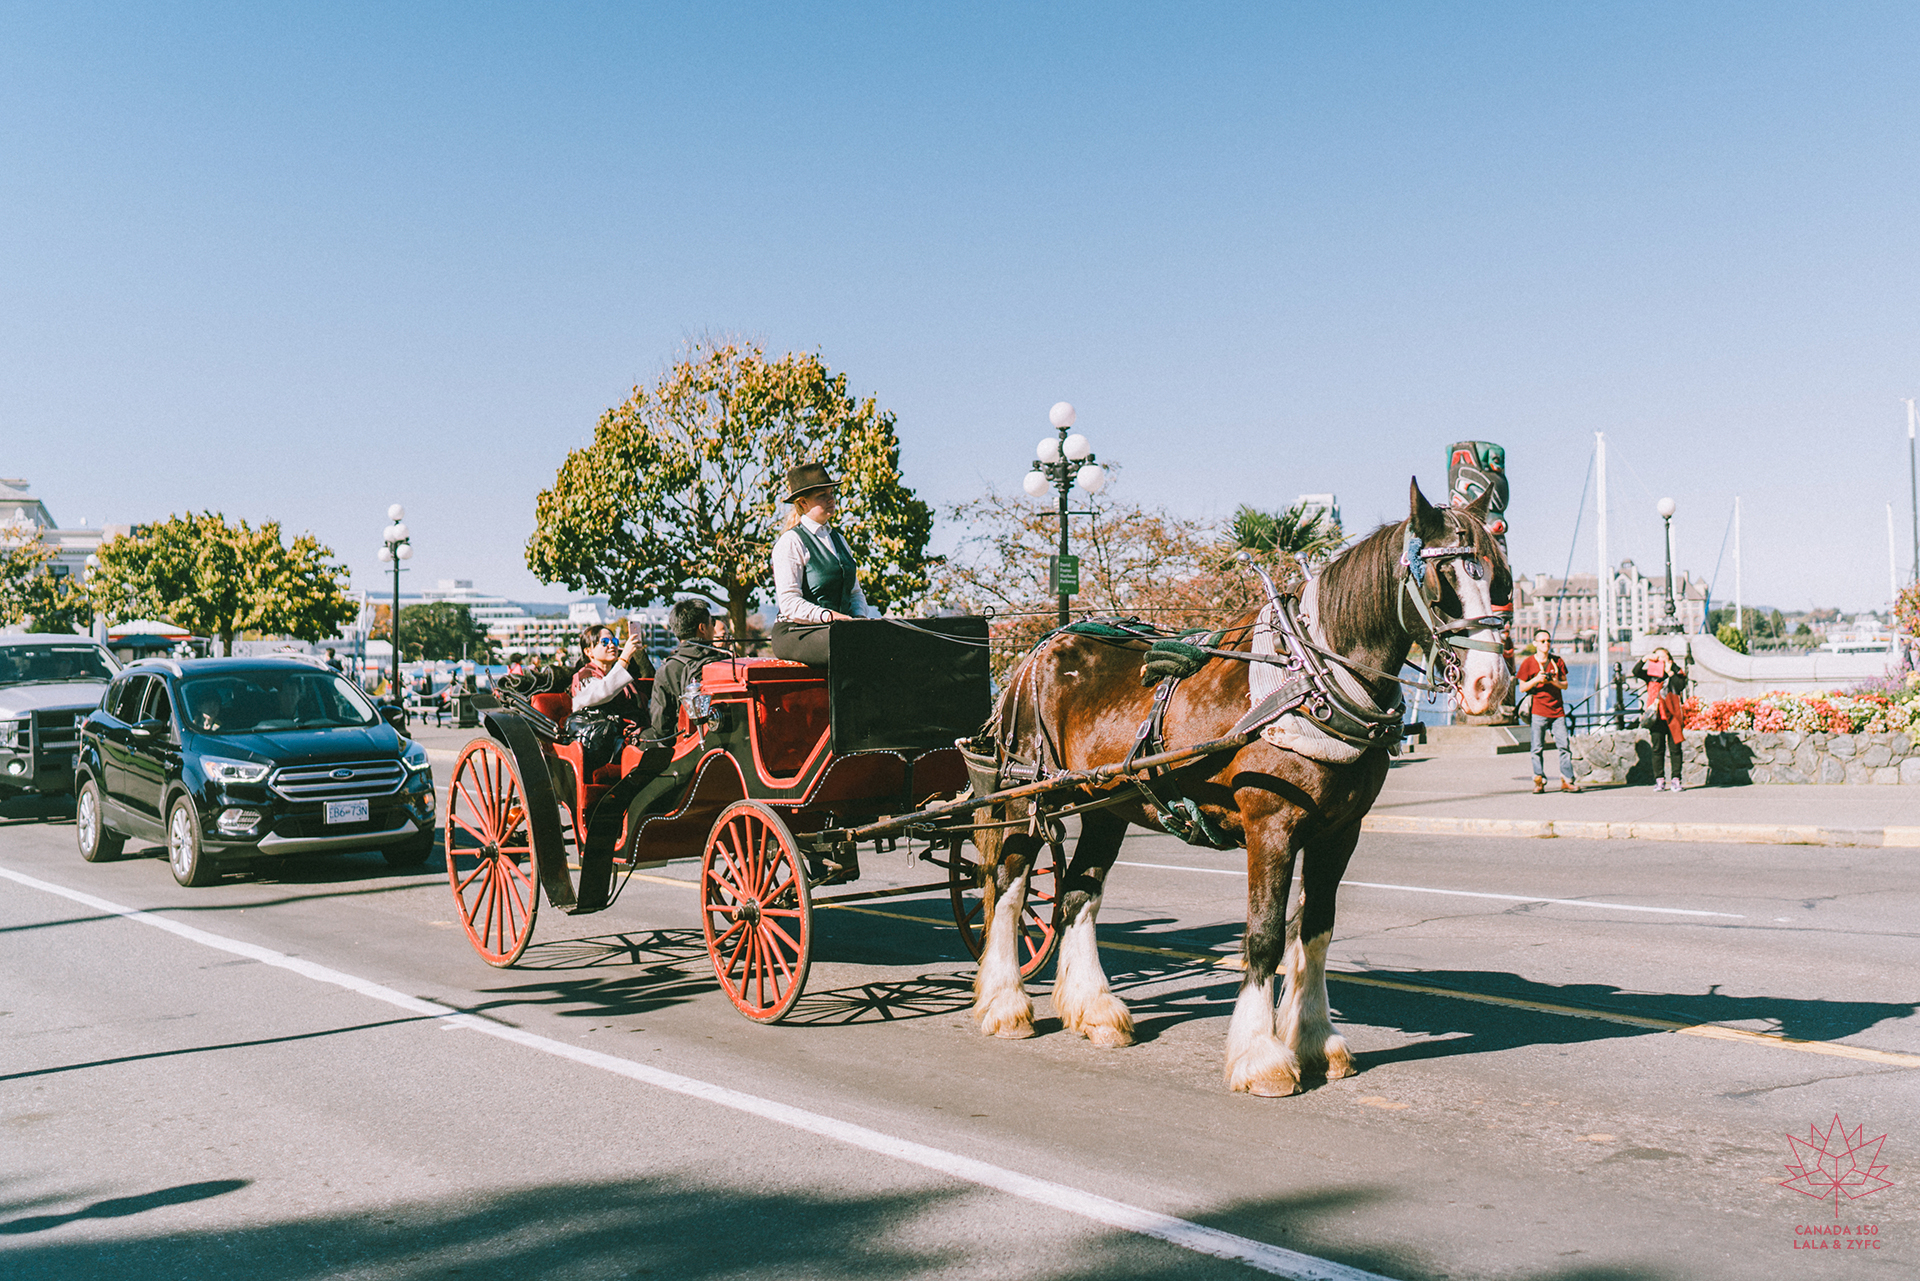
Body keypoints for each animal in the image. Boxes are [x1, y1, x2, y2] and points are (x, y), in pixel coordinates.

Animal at [975, 476, 1512, 1098]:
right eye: (1441, 579)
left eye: (1499, 581)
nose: (1491, 683)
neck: (1313, 683)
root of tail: (1040, 648)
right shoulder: (1270, 826)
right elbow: (1264, 936)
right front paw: (1262, 1056)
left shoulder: (1339, 832)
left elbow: (1316, 933)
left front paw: (1314, 1040)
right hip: (1027, 794)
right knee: (1011, 888)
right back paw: (1005, 1004)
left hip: (1107, 805)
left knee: (1078, 896)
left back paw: (1096, 1011)